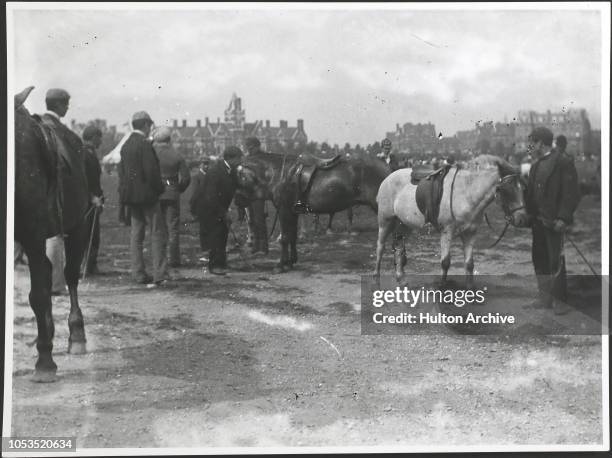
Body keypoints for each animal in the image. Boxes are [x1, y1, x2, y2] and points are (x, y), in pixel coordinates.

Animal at [13, 87, 89, 382]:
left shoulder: (33, 233)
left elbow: (38, 294)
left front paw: (45, 362)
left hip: (79, 224)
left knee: (69, 275)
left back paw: (76, 334)